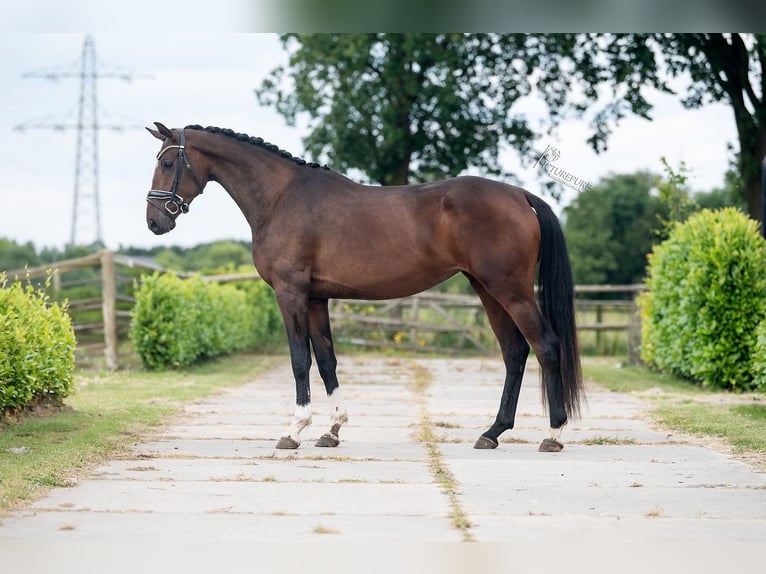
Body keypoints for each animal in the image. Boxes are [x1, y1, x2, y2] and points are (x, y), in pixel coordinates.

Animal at [146, 122, 588, 454]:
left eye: (167, 162)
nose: (154, 222)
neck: (282, 198)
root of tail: (521, 195)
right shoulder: (316, 298)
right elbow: (326, 361)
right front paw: (332, 430)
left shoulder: (290, 293)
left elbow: (299, 360)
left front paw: (294, 430)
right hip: (487, 290)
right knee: (514, 354)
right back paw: (491, 433)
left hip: (511, 291)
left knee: (546, 347)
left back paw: (552, 434)